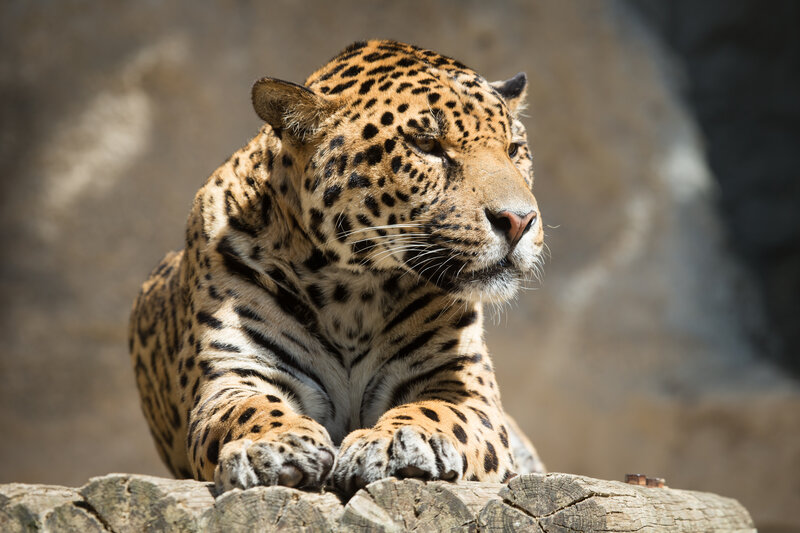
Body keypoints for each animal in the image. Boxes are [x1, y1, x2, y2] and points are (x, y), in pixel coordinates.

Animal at [129, 39, 546, 496]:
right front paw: (273, 445)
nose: (519, 221)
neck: (352, 290)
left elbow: (436, 410)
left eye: (514, 150)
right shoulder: (234, 375)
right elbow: (247, 409)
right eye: (427, 145)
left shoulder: (462, 386)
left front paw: (396, 442)